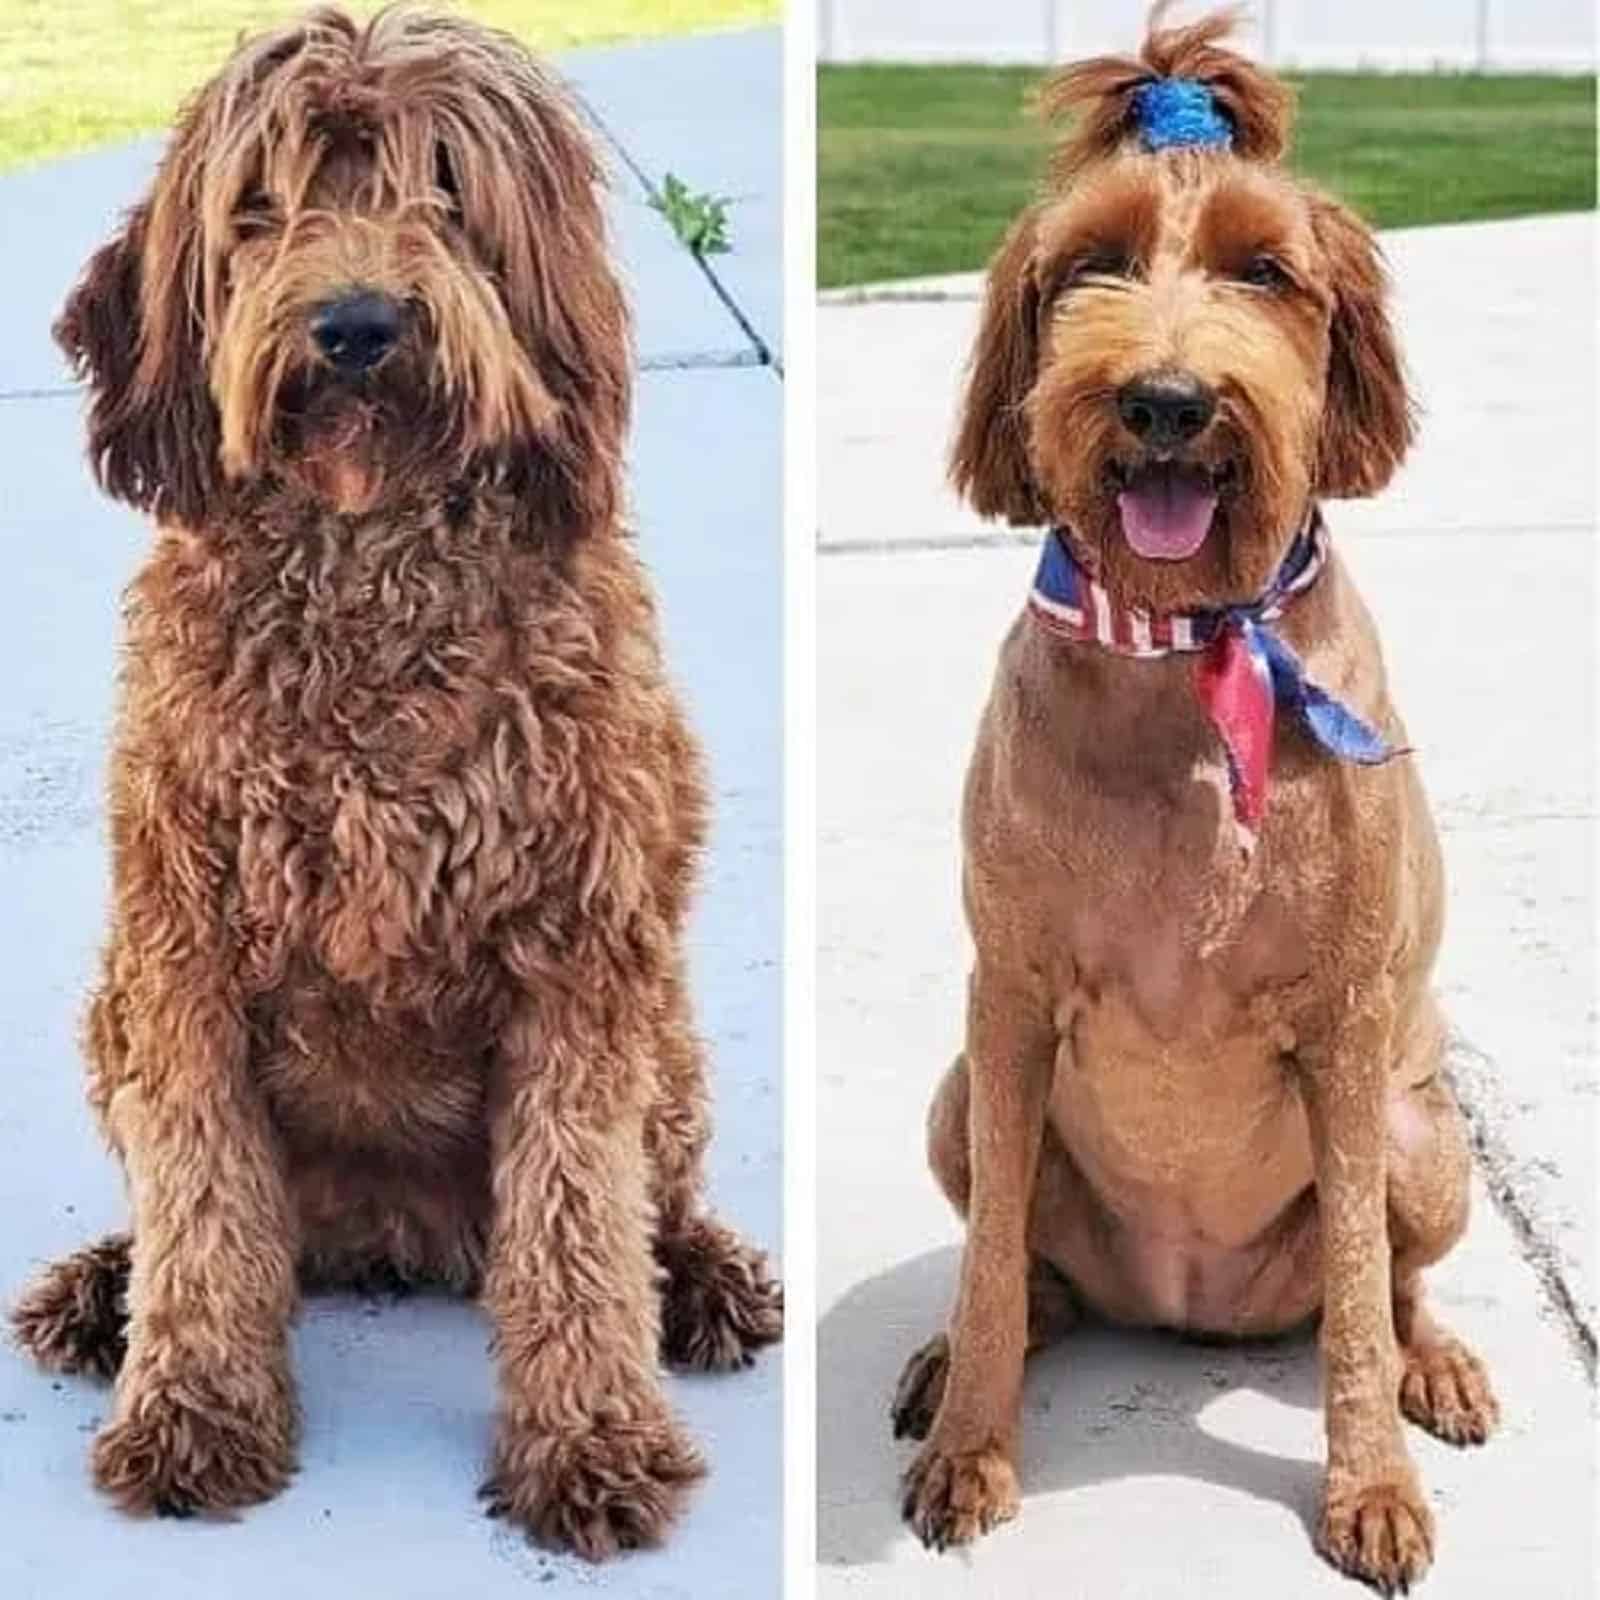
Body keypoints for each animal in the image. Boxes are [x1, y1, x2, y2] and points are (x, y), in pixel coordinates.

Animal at [6, 3, 780, 1561]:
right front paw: (193, 1410)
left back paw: (705, 1281)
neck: (367, 568)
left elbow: (576, 1221)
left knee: (649, 1205)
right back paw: (106, 1288)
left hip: (667, 1035)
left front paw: (590, 1441)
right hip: (107, 1013)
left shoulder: (578, 960)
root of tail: (389, 1236)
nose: (358, 326)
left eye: (447, 188)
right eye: (264, 201)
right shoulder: (180, 952)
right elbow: (201, 1205)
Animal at [889, 9, 1497, 1587]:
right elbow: (991, 1265)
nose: (1164, 402)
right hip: (957, 1097)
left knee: (1391, 1286)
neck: (1182, 650)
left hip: (1425, 1136)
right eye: (1089, 266)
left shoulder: (1345, 1030)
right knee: (1023, 1268)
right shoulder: (1007, 999)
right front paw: (972, 1444)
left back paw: (1437, 1365)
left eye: (1263, 273)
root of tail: (1189, 1311)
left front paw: (1370, 1485)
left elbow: (1353, 1293)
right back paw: (952, 1357)